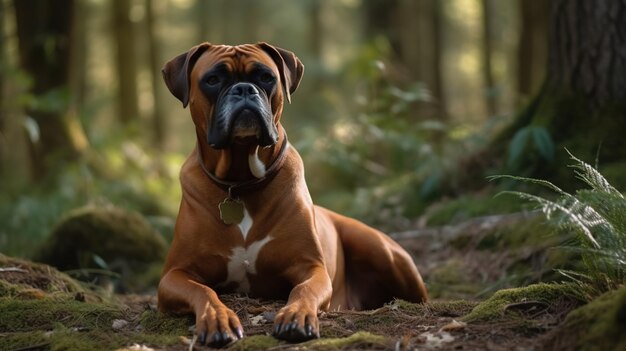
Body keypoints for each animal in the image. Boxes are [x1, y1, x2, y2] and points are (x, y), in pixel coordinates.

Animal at [158, 42, 426, 348]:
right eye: (212, 80)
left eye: (266, 77)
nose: (244, 89)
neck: (240, 182)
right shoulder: (174, 275)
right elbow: (204, 292)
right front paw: (217, 318)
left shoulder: (311, 267)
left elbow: (303, 290)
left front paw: (297, 315)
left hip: (380, 249)